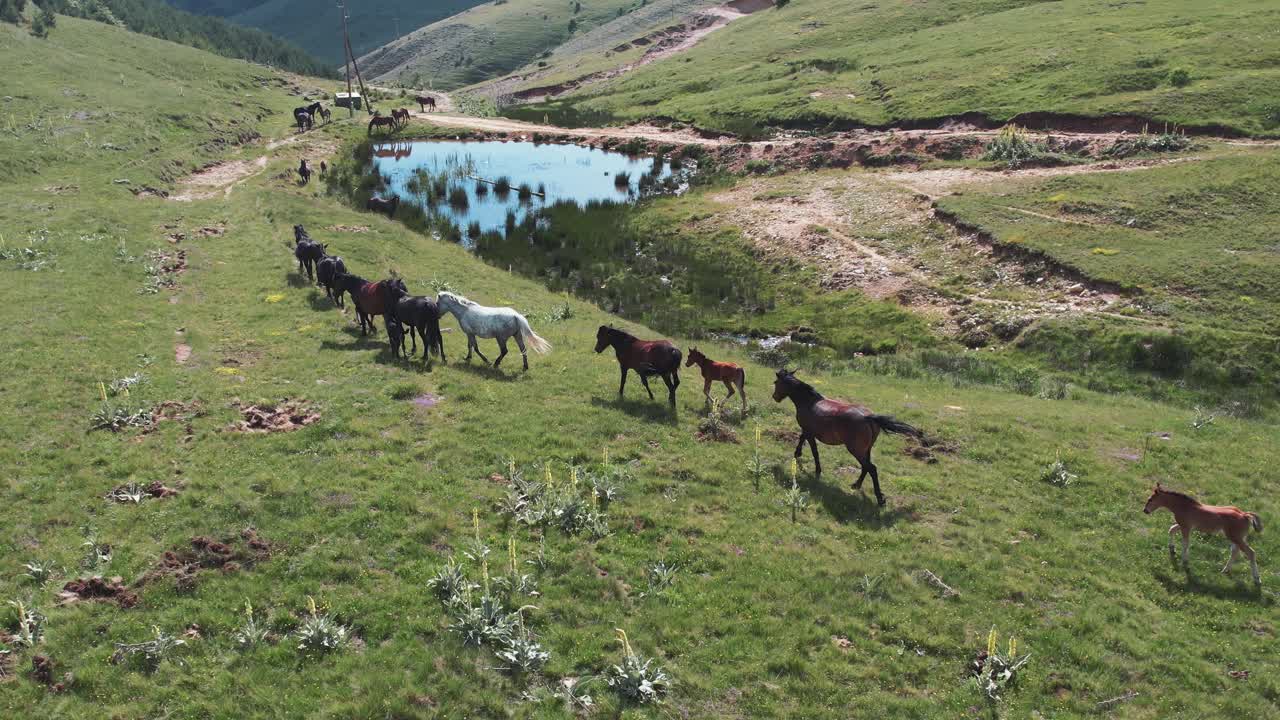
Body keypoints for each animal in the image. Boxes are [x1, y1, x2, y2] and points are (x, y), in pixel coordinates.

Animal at [768, 363, 921, 504]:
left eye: (775, 382)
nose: (775, 397)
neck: (808, 402)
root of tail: (868, 417)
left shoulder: (810, 433)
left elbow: (814, 452)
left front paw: (817, 471)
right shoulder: (807, 431)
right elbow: (801, 439)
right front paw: (797, 454)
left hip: (855, 449)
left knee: (871, 468)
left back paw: (879, 499)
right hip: (866, 449)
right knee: (866, 467)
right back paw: (856, 485)